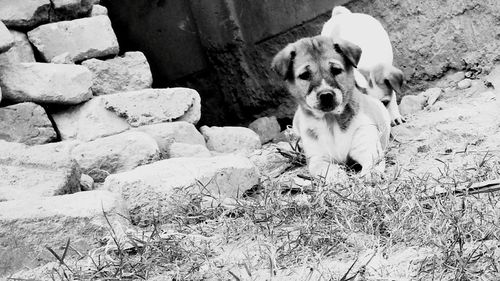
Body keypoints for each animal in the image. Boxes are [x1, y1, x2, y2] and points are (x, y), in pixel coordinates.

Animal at [274, 35, 390, 182]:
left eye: (336, 70)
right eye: (304, 75)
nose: (326, 95)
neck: (330, 120)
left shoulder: (367, 146)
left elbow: (372, 163)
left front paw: (371, 174)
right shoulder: (317, 159)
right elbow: (326, 169)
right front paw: (339, 175)